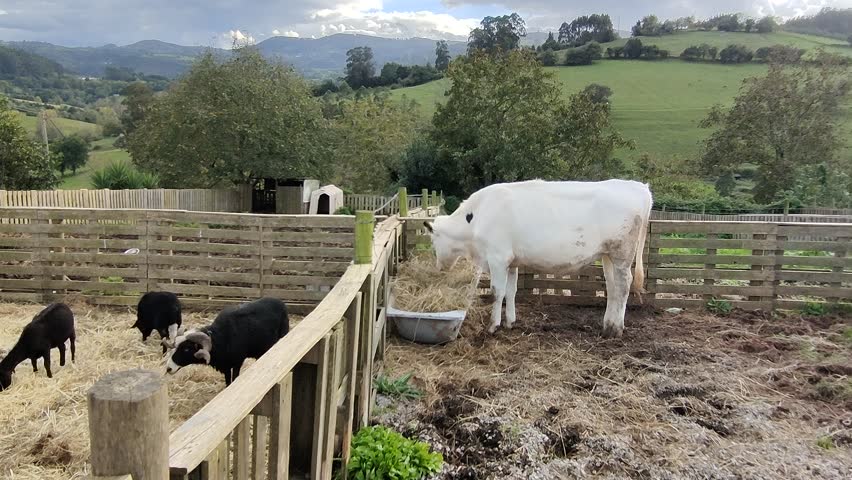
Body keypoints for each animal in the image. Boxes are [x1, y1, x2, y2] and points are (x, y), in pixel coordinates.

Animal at [424, 179, 652, 338]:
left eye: (433, 242)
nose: (438, 267)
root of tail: (639, 187)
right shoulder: (511, 262)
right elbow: (511, 291)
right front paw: (510, 322)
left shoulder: (498, 258)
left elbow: (497, 292)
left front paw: (492, 326)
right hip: (608, 255)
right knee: (612, 287)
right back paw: (608, 326)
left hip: (622, 253)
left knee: (624, 285)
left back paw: (617, 329)